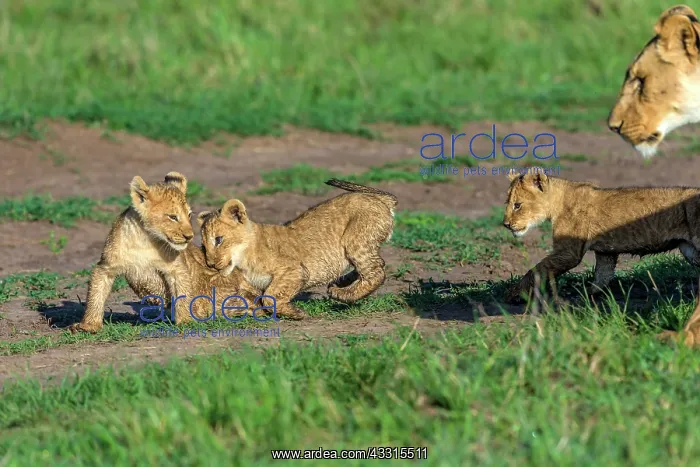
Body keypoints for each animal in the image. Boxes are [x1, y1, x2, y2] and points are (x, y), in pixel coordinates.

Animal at [69, 172, 260, 334]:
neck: (145, 240)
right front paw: (88, 325)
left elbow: (182, 295)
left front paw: (186, 321)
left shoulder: (178, 269)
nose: (189, 236)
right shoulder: (106, 266)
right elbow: (96, 295)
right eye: (173, 217)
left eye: (189, 215)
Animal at [197, 179, 397, 320]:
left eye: (218, 240)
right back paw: (340, 282)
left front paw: (297, 313)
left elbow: (270, 296)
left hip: (355, 240)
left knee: (376, 271)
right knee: (377, 264)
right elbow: (256, 298)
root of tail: (379, 199)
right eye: (203, 246)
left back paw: (342, 293)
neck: (243, 257)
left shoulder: (296, 270)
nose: (211, 264)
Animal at [501, 169, 700, 305]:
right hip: (689, 250)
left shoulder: (569, 253)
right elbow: (603, 276)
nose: (506, 224)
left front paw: (514, 293)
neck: (557, 202)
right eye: (508, 203)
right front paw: (587, 294)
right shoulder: (606, 253)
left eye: (517, 205)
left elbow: (539, 269)